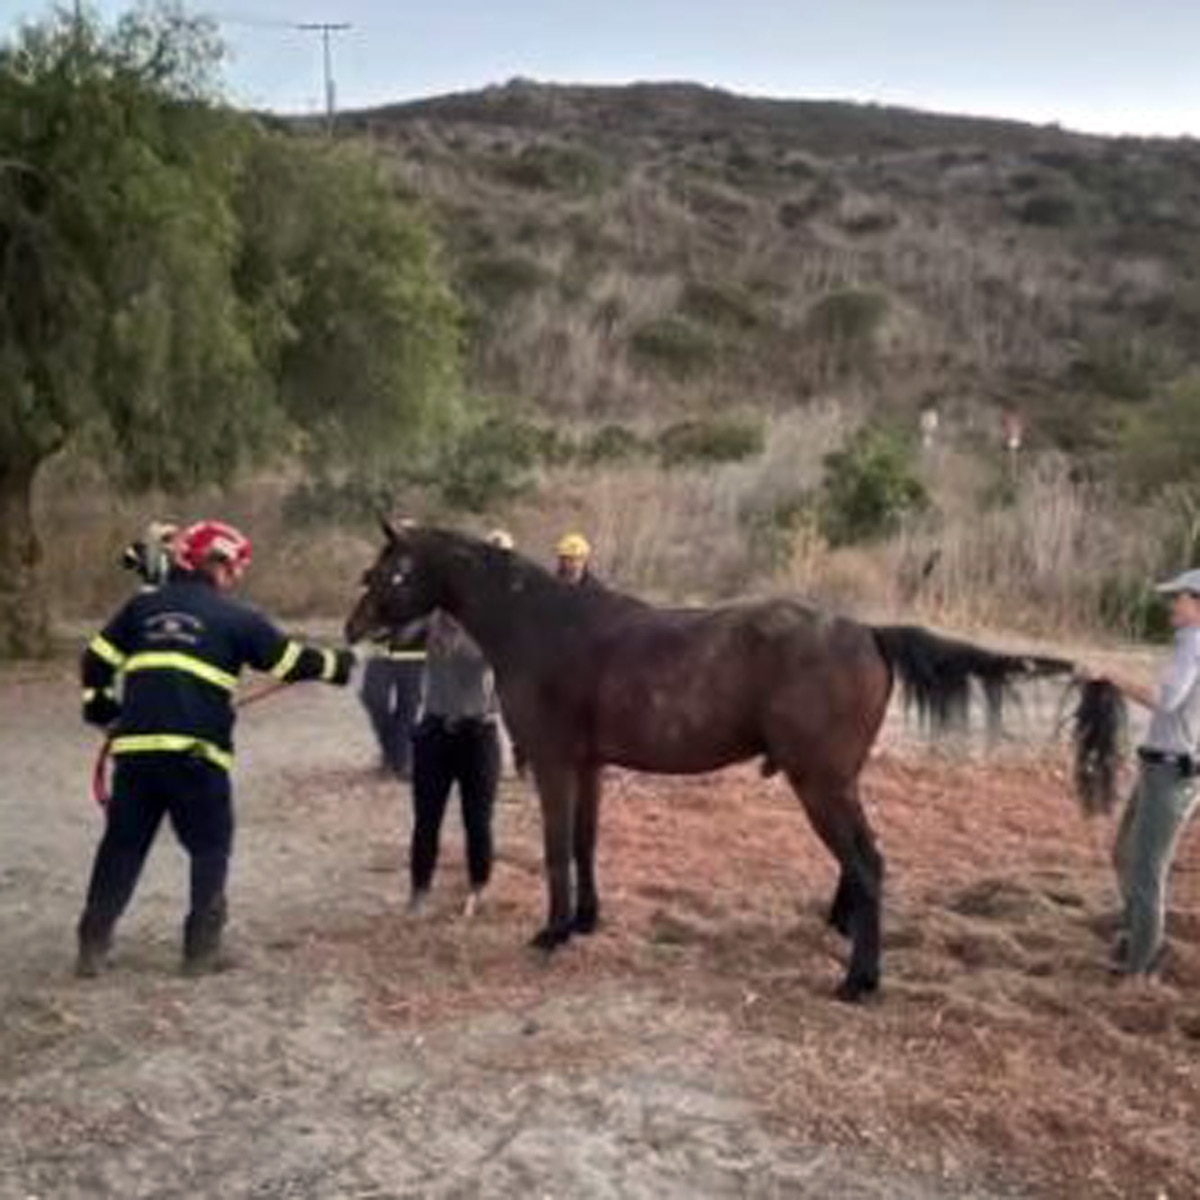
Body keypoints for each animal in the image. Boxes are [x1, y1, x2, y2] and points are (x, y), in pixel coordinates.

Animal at [345, 523, 1122, 1002]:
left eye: (395, 571)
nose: (354, 629)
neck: (546, 626)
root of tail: (868, 632)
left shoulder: (559, 765)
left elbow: (558, 849)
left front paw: (552, 930)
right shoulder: (591, 766)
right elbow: (587, 846)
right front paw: (588, 921)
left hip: (820, 784)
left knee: (869, 862)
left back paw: (859, 981)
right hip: (836, 783)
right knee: (859, 864)